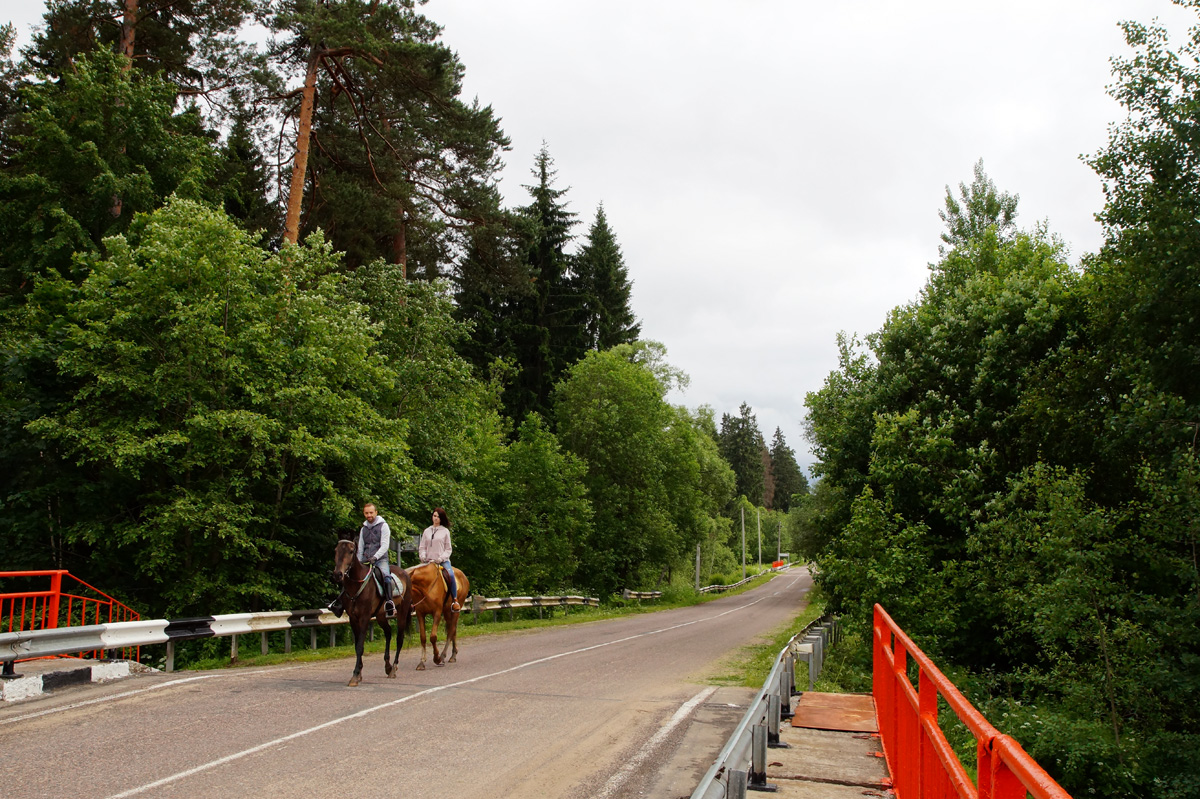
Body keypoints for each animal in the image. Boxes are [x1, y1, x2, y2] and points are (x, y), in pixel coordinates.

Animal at [333, 535, 412, 686]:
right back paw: (387, 666)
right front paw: (359, 673)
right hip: (381, 616)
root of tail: (405, 573)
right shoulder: (353, 619)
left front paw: (355, 675)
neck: (356, 585)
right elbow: (357, 645)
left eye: (351, 551)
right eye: (336, 550)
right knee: (388, 633)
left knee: (399, 638)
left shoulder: (364, 617)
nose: (338, 574)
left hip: (402, 613)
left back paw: (393, 668)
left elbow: (360, 646)